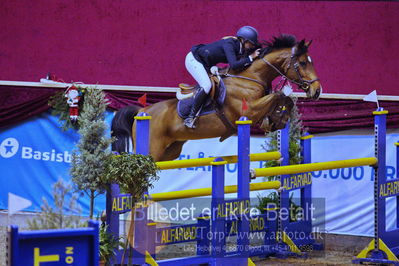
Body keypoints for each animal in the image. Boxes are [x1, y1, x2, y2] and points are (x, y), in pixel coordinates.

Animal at [111, 34, 322, 161]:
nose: (317, 91)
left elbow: (284, 99)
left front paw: (277, 120)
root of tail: (142, 110)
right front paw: (276, 119)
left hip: (170, 151)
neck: (251, 77)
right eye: (303, 63)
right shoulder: (250, 110)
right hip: (151, 149)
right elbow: (277, 96)